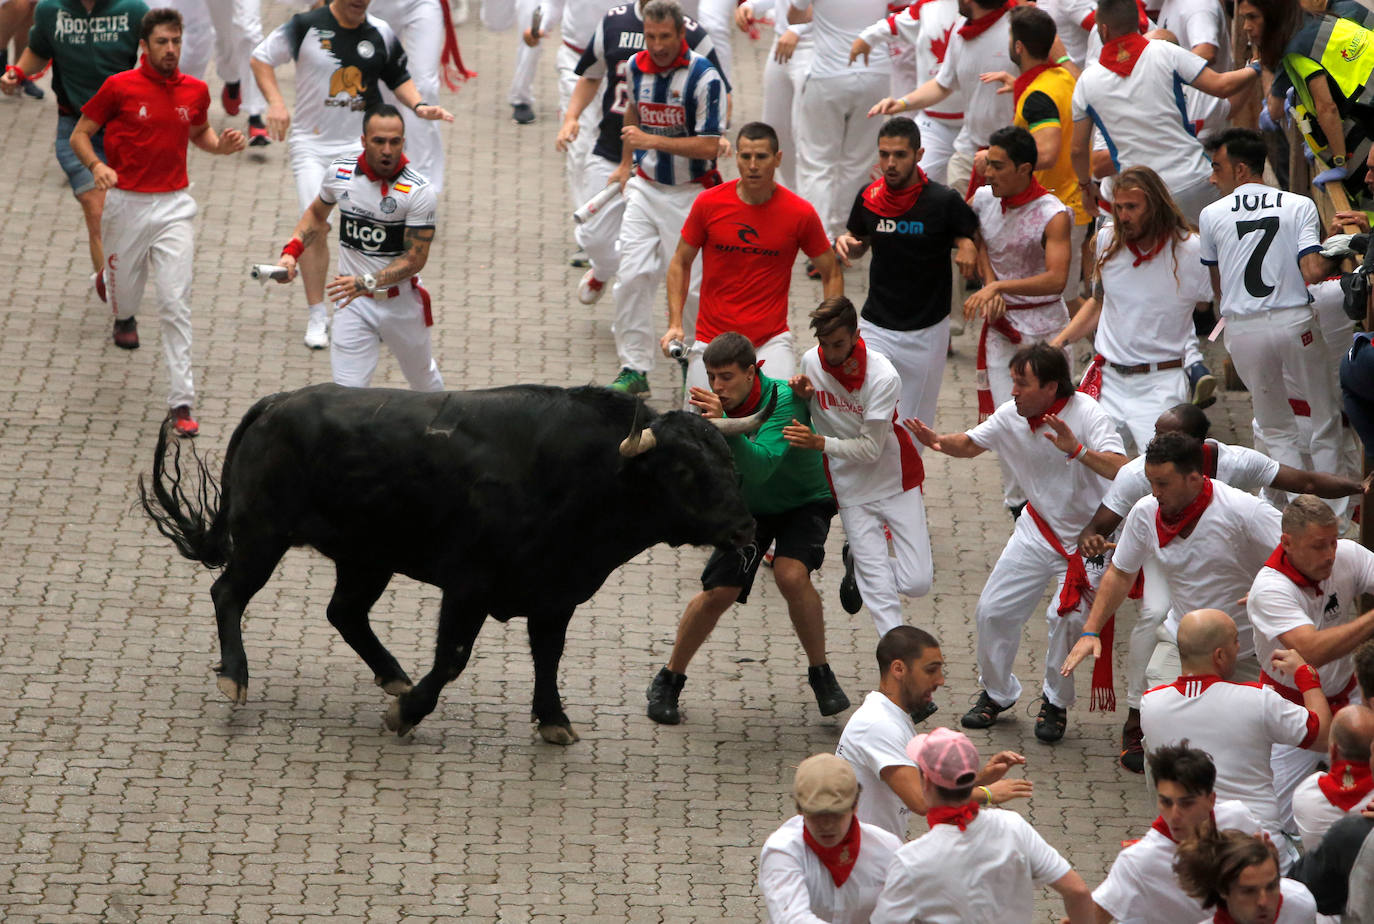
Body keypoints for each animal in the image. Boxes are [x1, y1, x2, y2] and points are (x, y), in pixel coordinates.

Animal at [142, 382, 774, 742]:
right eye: (684, 472)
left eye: (731, 464)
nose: (747, 528)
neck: (582, 474)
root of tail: (275, 404)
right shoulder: (468, 585)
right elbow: (452, 658)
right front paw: (408, 715)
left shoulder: (557, 593)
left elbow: (548, 656)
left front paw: (554, 719)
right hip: (263, 536)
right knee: (229, 593)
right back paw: (236, 676)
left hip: (366, 556)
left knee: (344, 612)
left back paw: (392, 675)